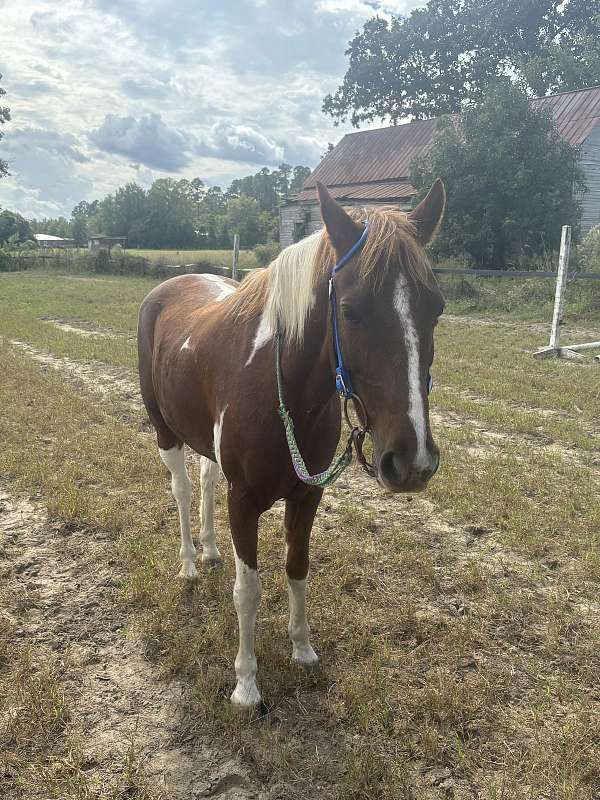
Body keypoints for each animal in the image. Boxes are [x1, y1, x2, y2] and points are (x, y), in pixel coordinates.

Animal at [137, 180, 446, 707]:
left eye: (437, 309)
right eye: (350, 310)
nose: (412, 461)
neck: (281, 387)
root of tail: (167, 288)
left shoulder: (308, 495)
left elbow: (297, 566)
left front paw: (302, 648)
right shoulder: (244, 500)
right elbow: (248, 590)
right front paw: (246, 684)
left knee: (205, 480)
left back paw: (211, 550)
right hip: (165, 432)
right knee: (181, 489)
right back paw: (190, 564)